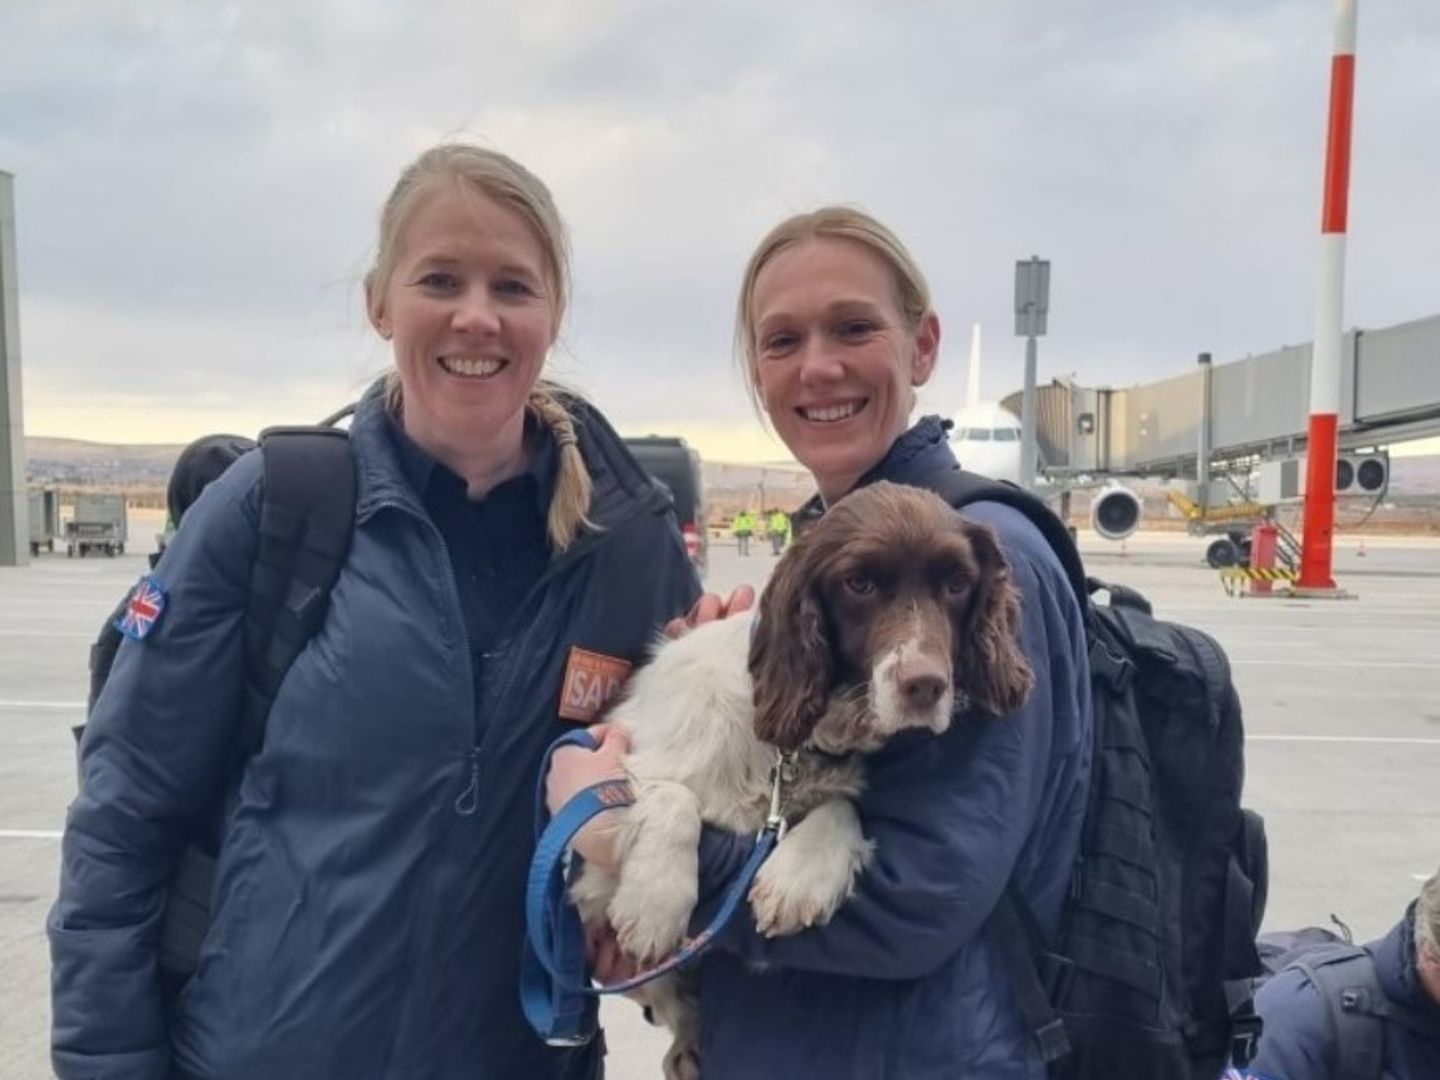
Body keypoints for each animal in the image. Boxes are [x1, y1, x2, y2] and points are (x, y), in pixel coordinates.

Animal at [567, 483, 1031, 1080]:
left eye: (956, 584)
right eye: (860, 584)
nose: (926, 686)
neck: (789, 745)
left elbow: (841, 809)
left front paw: (797, 877)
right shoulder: (612, 778)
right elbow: (672, 796)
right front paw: (654, 902)